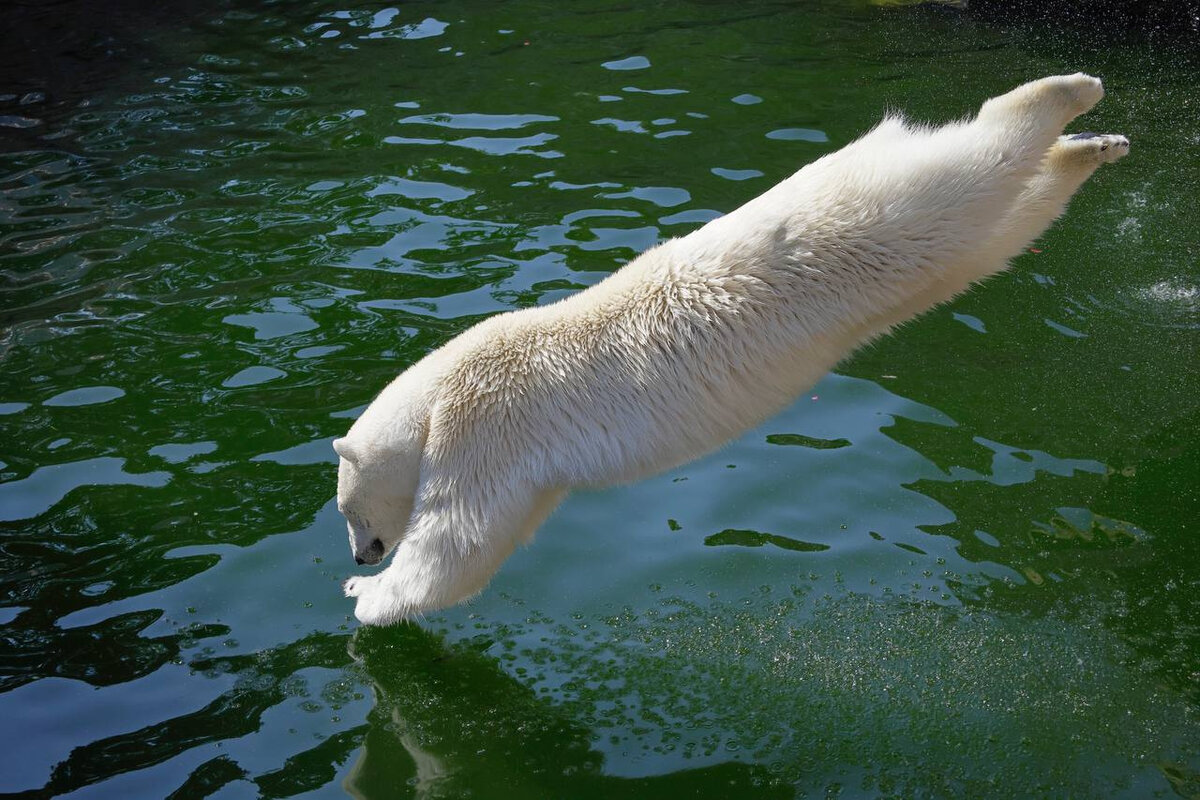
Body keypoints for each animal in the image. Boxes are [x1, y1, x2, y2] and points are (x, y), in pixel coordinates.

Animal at [336, 74, 1123, 623]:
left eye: (347, 508)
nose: (360, 549)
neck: (438, 393)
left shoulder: (487, 423)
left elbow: (458, 543)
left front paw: (362, 594)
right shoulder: (533, 475)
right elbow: (493, 538)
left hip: (882, 210)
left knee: (982, 160)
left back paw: (1071, 92)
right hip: (938, 249)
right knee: (1005, 226)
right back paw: (1090, 150)